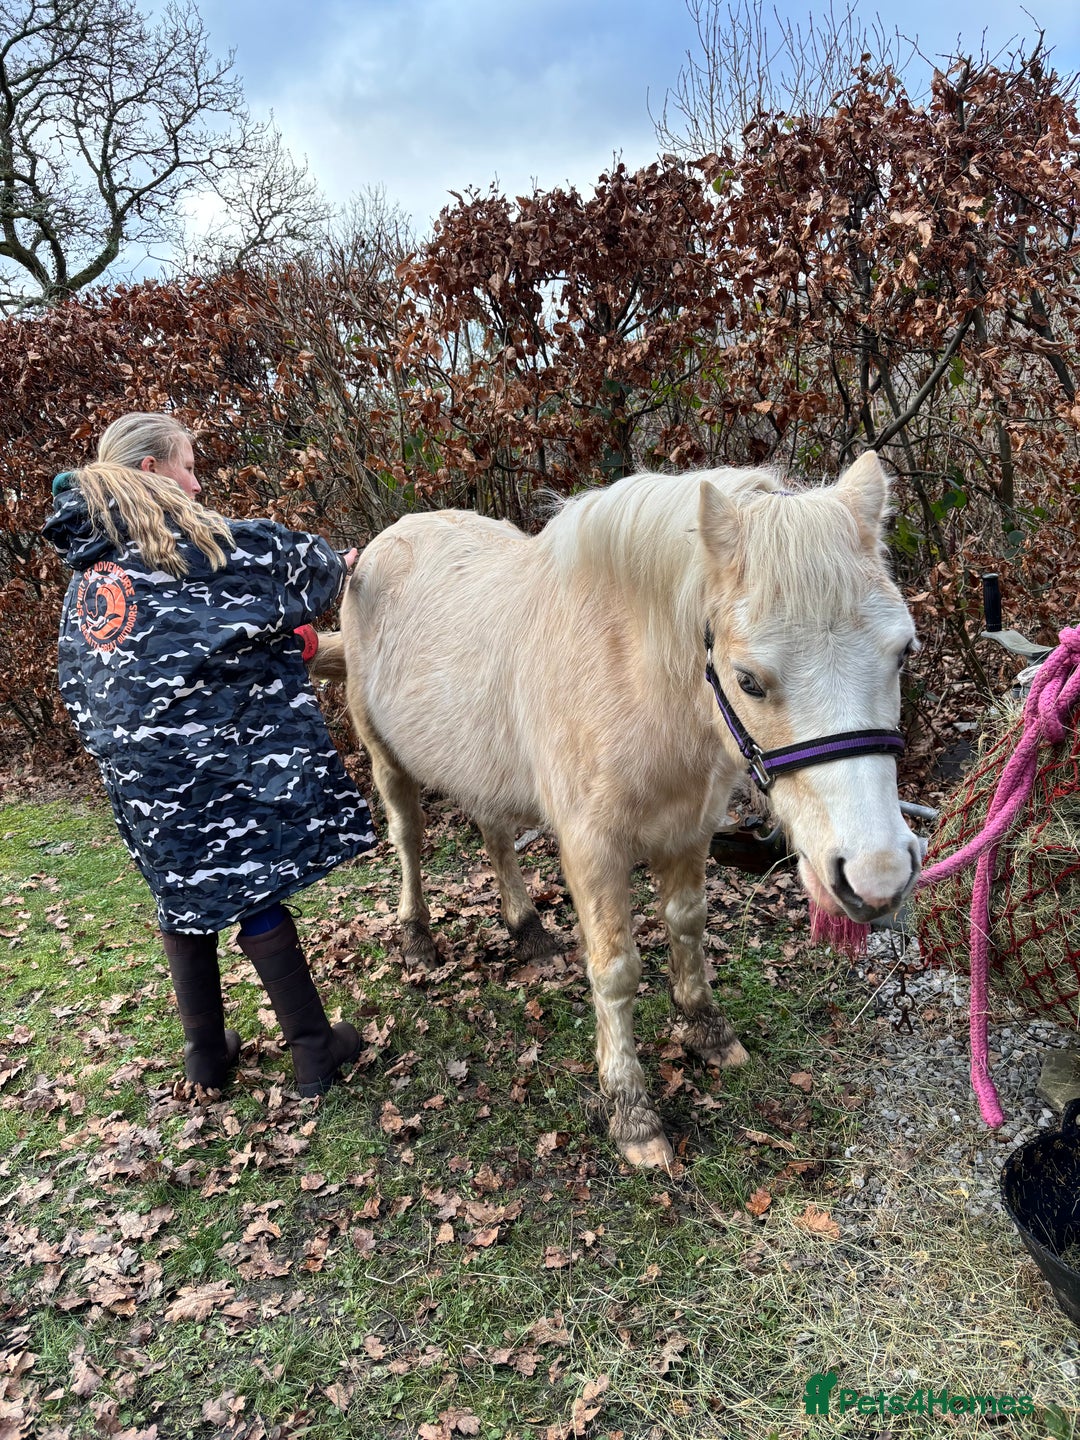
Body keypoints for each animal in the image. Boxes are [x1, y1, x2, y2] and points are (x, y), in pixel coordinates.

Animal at [311, 451, 920, 1168]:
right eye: (748, 680)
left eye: (902, 652)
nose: (877, 877)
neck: (633, 679)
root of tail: (378, 548)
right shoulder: (593, 849)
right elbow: (616, 971)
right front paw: (630, 1110)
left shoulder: (689, 829)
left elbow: (688, 924)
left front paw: (707, 1032)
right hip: (385, 758)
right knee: (408, 837)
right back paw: (416, 938)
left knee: (494, 833)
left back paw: (528, 930)